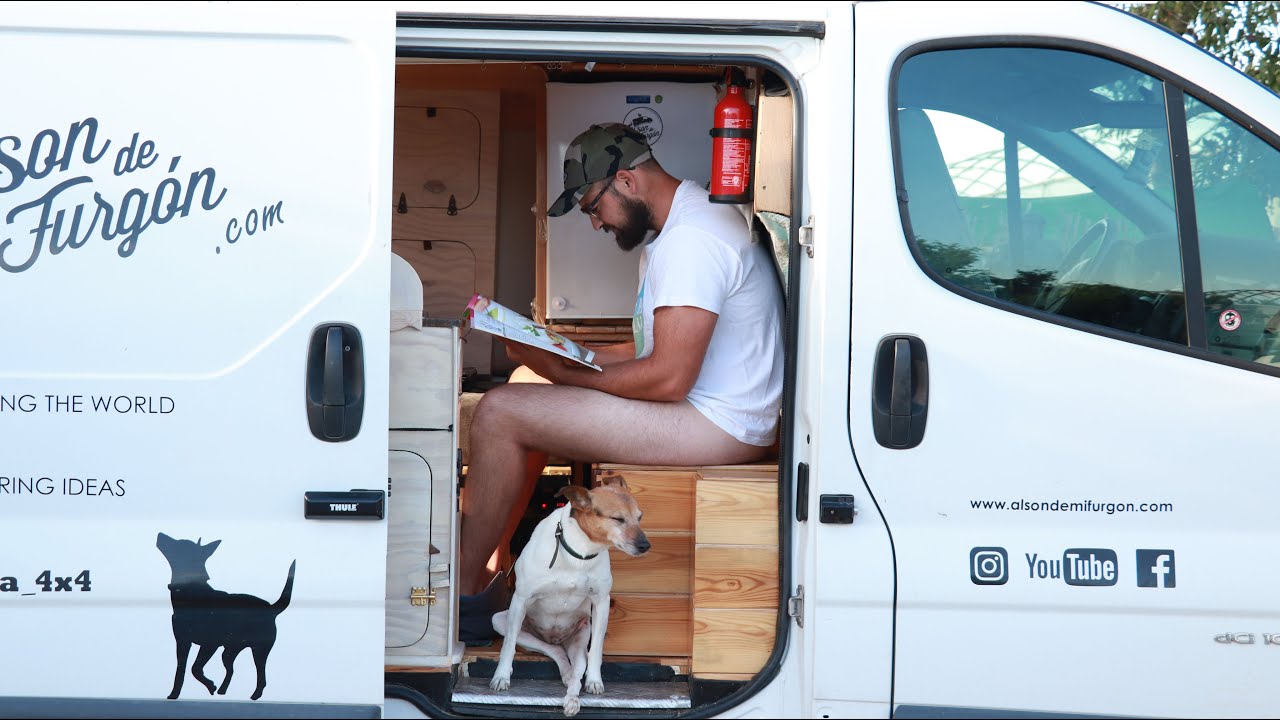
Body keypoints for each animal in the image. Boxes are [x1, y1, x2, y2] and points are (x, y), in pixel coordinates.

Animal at [486, 474, 650, 712]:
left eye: (640, 517)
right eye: (617, 519)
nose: (645, 545)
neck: (582, 550)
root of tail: (556, 639)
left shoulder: (601, 602)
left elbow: (596, 651)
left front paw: (594, 680)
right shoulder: (521, 600)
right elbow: (508, 647)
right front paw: (500, 677)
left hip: (582, 633)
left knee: (576, 666)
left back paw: (572, 695)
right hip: (501, 621)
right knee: (552, 650)